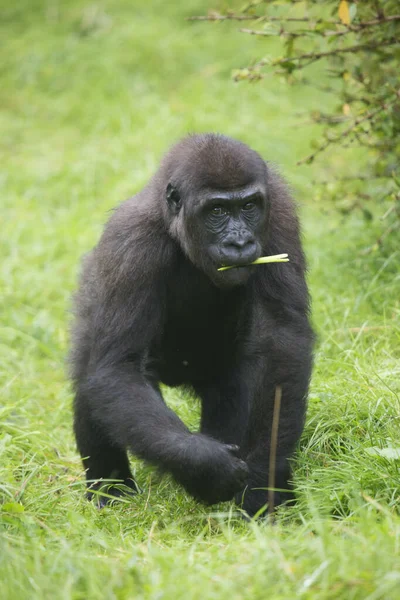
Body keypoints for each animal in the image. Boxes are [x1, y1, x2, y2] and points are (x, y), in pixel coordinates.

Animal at [69, 132, 314, 516]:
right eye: (216, 211)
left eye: (249, 207)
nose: (240, 242)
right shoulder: (130, 243)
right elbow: (117, 368)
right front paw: (204, 466)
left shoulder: (279, 213)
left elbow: (281, 339)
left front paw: (264, 480)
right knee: (90, 379)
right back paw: (112, 493)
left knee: (234, 384)